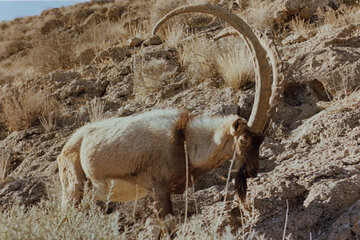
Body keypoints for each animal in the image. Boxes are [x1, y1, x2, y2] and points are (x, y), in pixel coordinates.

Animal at [57, 2, 284, 231]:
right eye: (244, 140)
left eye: (260, 140)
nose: (253, 170)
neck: (184, 141)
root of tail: (67, 148)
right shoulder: (160, 189)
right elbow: (168, 226)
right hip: (74, 190)